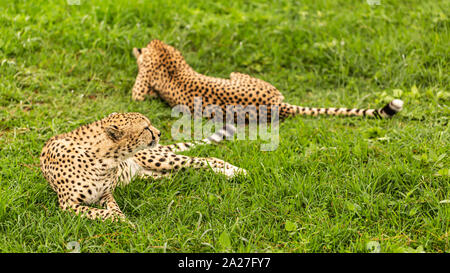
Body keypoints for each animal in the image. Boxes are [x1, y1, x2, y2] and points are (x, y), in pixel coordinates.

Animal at [39, 111, 246, 222]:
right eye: (145, 128)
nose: (159, 133)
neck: (104, 160)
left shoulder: (106, 194)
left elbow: (112, 209)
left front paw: (123, 221)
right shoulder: (68, 204)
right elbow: (102, 213)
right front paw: (122, 222)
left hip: (160, 159)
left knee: (207, 159)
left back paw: (236, 171)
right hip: (153, 173)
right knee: (183, 174)